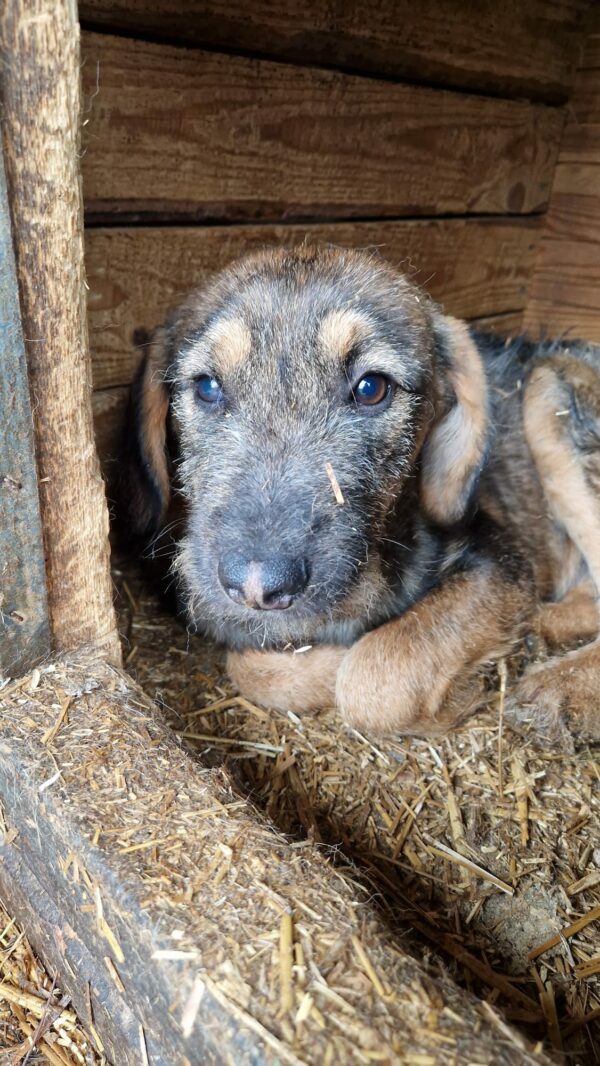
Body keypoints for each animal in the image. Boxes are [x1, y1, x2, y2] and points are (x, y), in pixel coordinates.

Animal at [120, 245, 600, 737]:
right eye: (207, 387)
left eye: (372, 388)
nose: (257, 587)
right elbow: (252, 667)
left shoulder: (500, 558)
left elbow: (372, 676)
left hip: (547, 391)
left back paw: (558, 686)